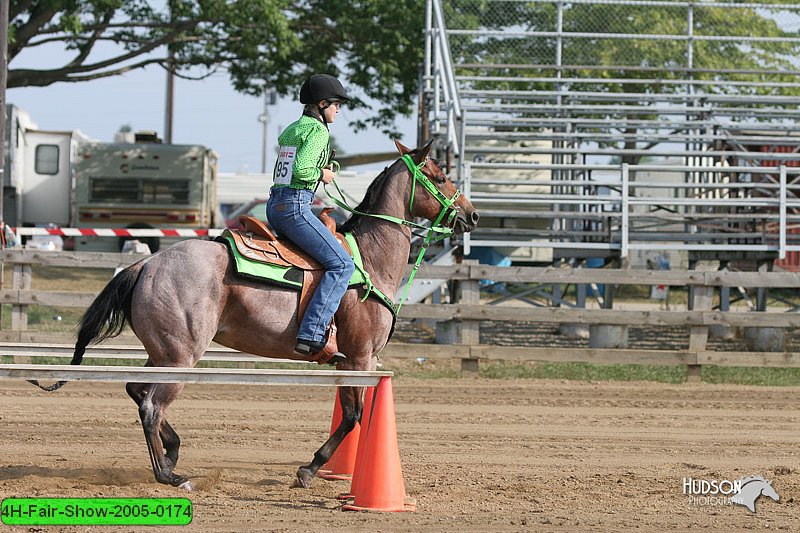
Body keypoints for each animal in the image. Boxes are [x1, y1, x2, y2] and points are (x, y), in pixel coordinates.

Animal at [31, 138, 478, 490]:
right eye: (440, 177)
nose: (471, 215)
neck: (368, 258)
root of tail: (146, 264)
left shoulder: (346, 361)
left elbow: (350, 415)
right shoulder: (361, 358)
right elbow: (354, 417)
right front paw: (309, 469)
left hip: (161, 353)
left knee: (136, 391)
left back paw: (172, 452)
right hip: (181, 357)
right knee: (150, 406)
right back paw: (170, 476)